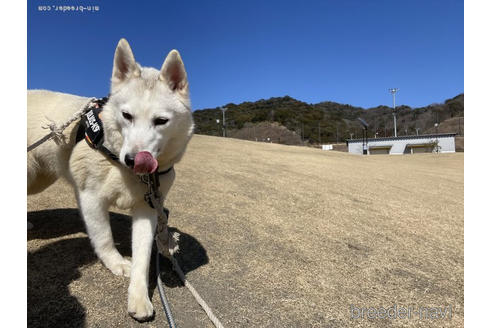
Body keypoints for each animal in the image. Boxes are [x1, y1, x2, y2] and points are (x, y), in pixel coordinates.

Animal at [27, 37, 194, 320]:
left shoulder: (148, 208)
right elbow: (103, 237)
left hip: (39, 178)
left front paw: (138, 296)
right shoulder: (90, 198)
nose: (134, 159)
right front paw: (116, 263)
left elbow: (143, 256)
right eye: (127, 116)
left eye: (161, 121)